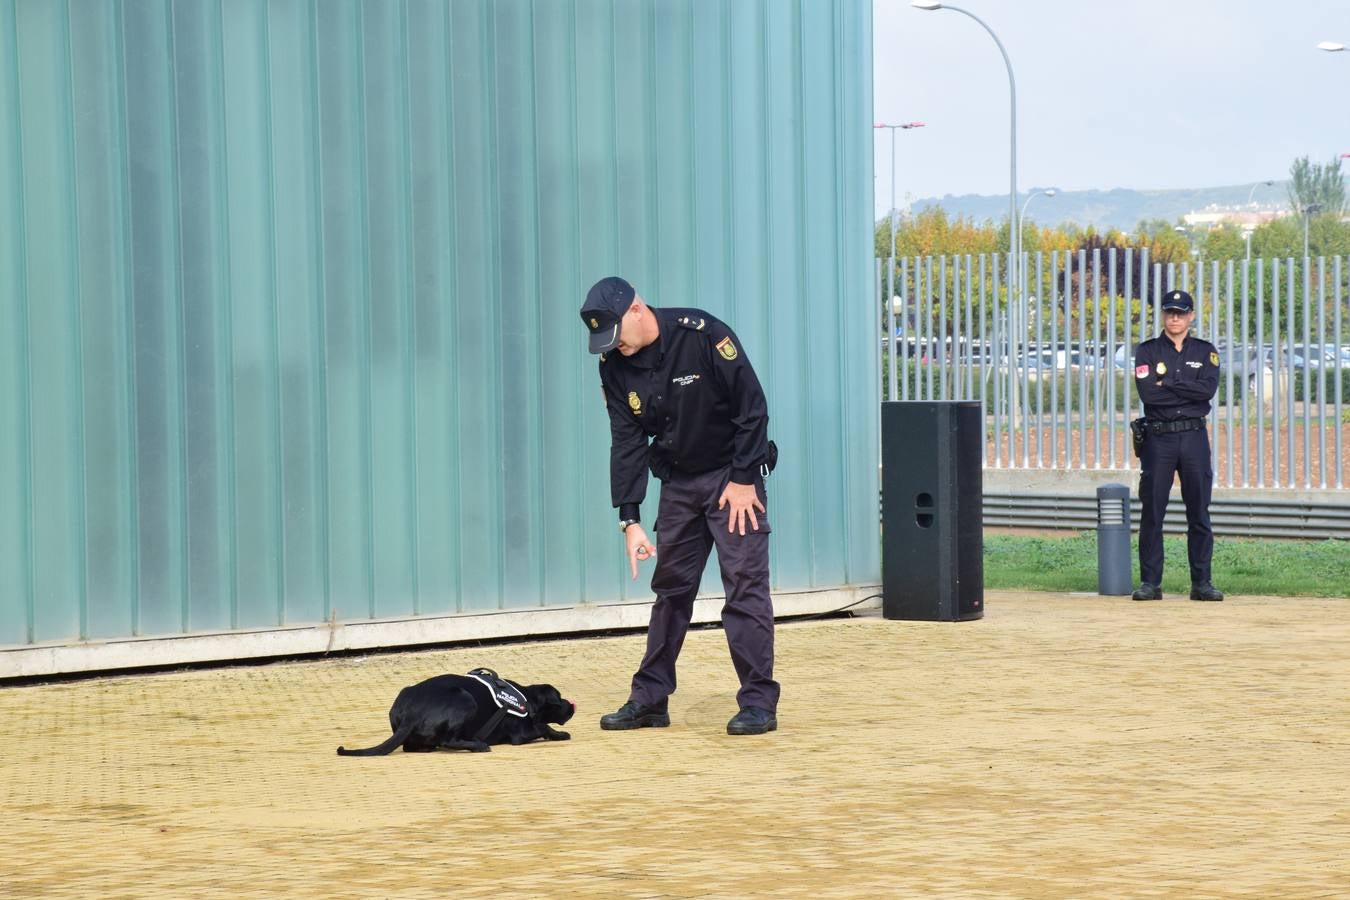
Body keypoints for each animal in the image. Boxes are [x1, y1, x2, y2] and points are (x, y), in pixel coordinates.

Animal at [337, 669, 575, 755]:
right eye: (560, 697)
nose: (572, 705)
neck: (527, 699)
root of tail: (411, 714)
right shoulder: (520, 734)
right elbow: (543, 726)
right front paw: (560, 734)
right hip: (465, 700)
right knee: (448, 741)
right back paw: (478, 745)